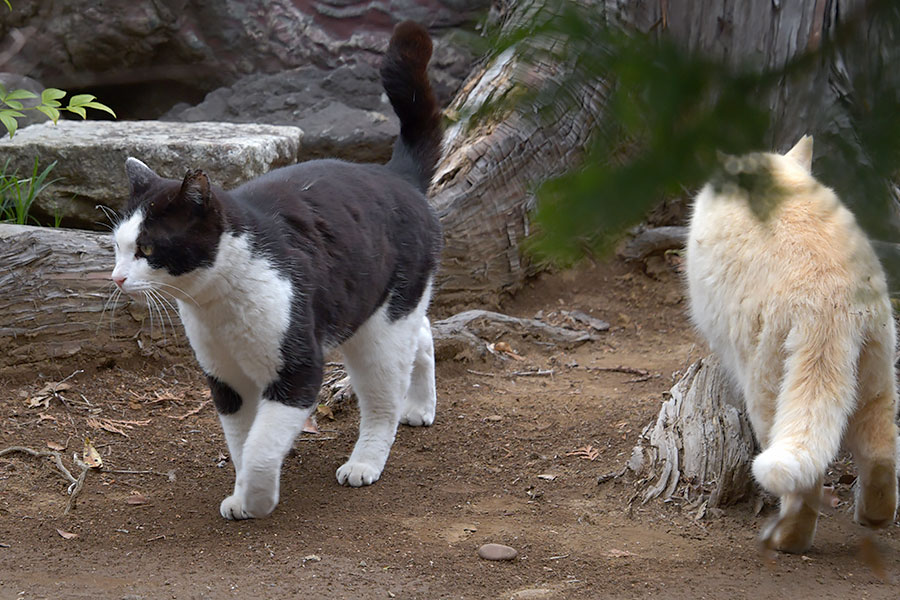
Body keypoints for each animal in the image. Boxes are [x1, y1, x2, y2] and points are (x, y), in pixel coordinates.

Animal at [108, 22, 442, 520]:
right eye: (117, 246)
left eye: (147, 248)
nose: (116, 278)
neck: (217, 305)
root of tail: (397, 176)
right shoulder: (226, 380)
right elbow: (241, 443)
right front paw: (242, 496)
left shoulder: (297, 370)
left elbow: (263, 448)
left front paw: (259, 499)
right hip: (382, 313)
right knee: (422, 334)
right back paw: (420, 405)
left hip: (380, 332)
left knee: (383, 398)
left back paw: (365, 461)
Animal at [684, 136, 896, 552]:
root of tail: (830, 301)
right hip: (876, 373)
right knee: (881, 451)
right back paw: (874, 516)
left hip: (767, 387)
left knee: (803, 481)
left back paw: (787, 540)